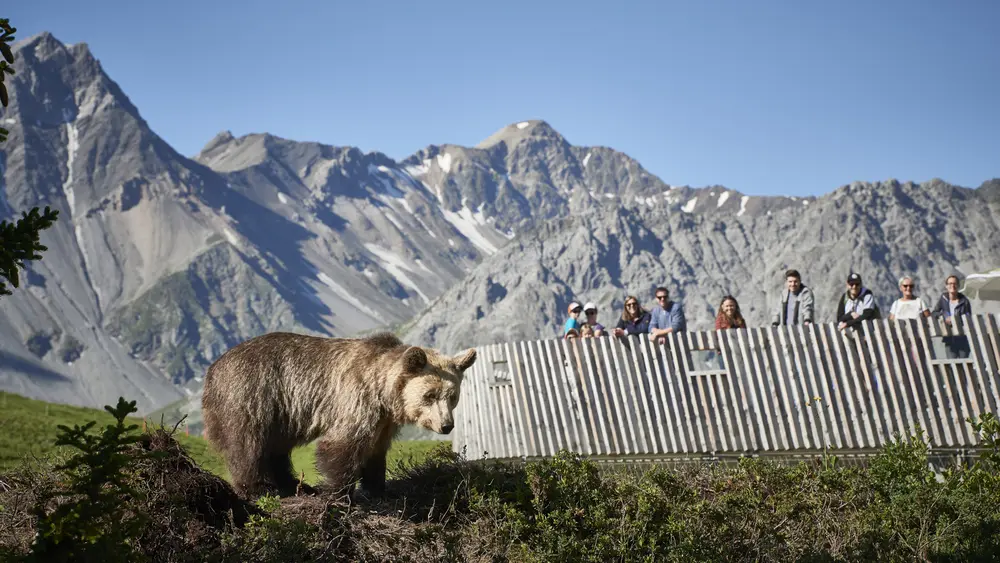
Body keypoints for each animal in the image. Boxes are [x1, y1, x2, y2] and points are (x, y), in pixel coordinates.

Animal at [200, 331, 477, 499]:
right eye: (430, 395)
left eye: (453, 396)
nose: (446, 426)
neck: (384, 394)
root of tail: (212, 369)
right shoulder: (356, 400)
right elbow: (341, 446)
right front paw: (337, 492)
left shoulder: (383, 422)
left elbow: (375, 453)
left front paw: (378, 488)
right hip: (253, 394)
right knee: (248, 443)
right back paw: (260, 488)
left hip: (281, 413)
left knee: (276, 448)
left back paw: (293, 484)